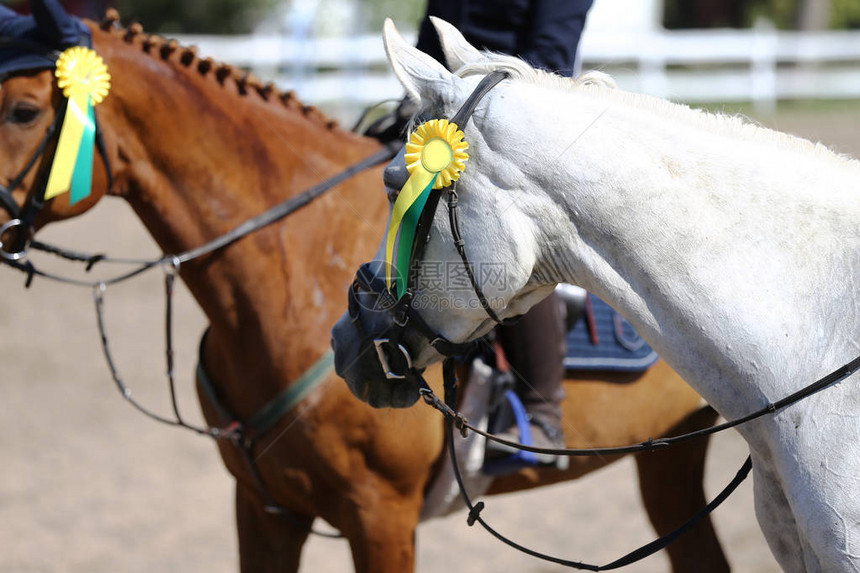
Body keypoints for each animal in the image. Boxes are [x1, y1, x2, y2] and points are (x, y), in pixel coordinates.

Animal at [0, 7, 724, 572]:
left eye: (23, 110)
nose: (354, 343)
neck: (296, 269)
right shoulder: (264, 509)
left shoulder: (379, 514)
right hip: (672, 462)